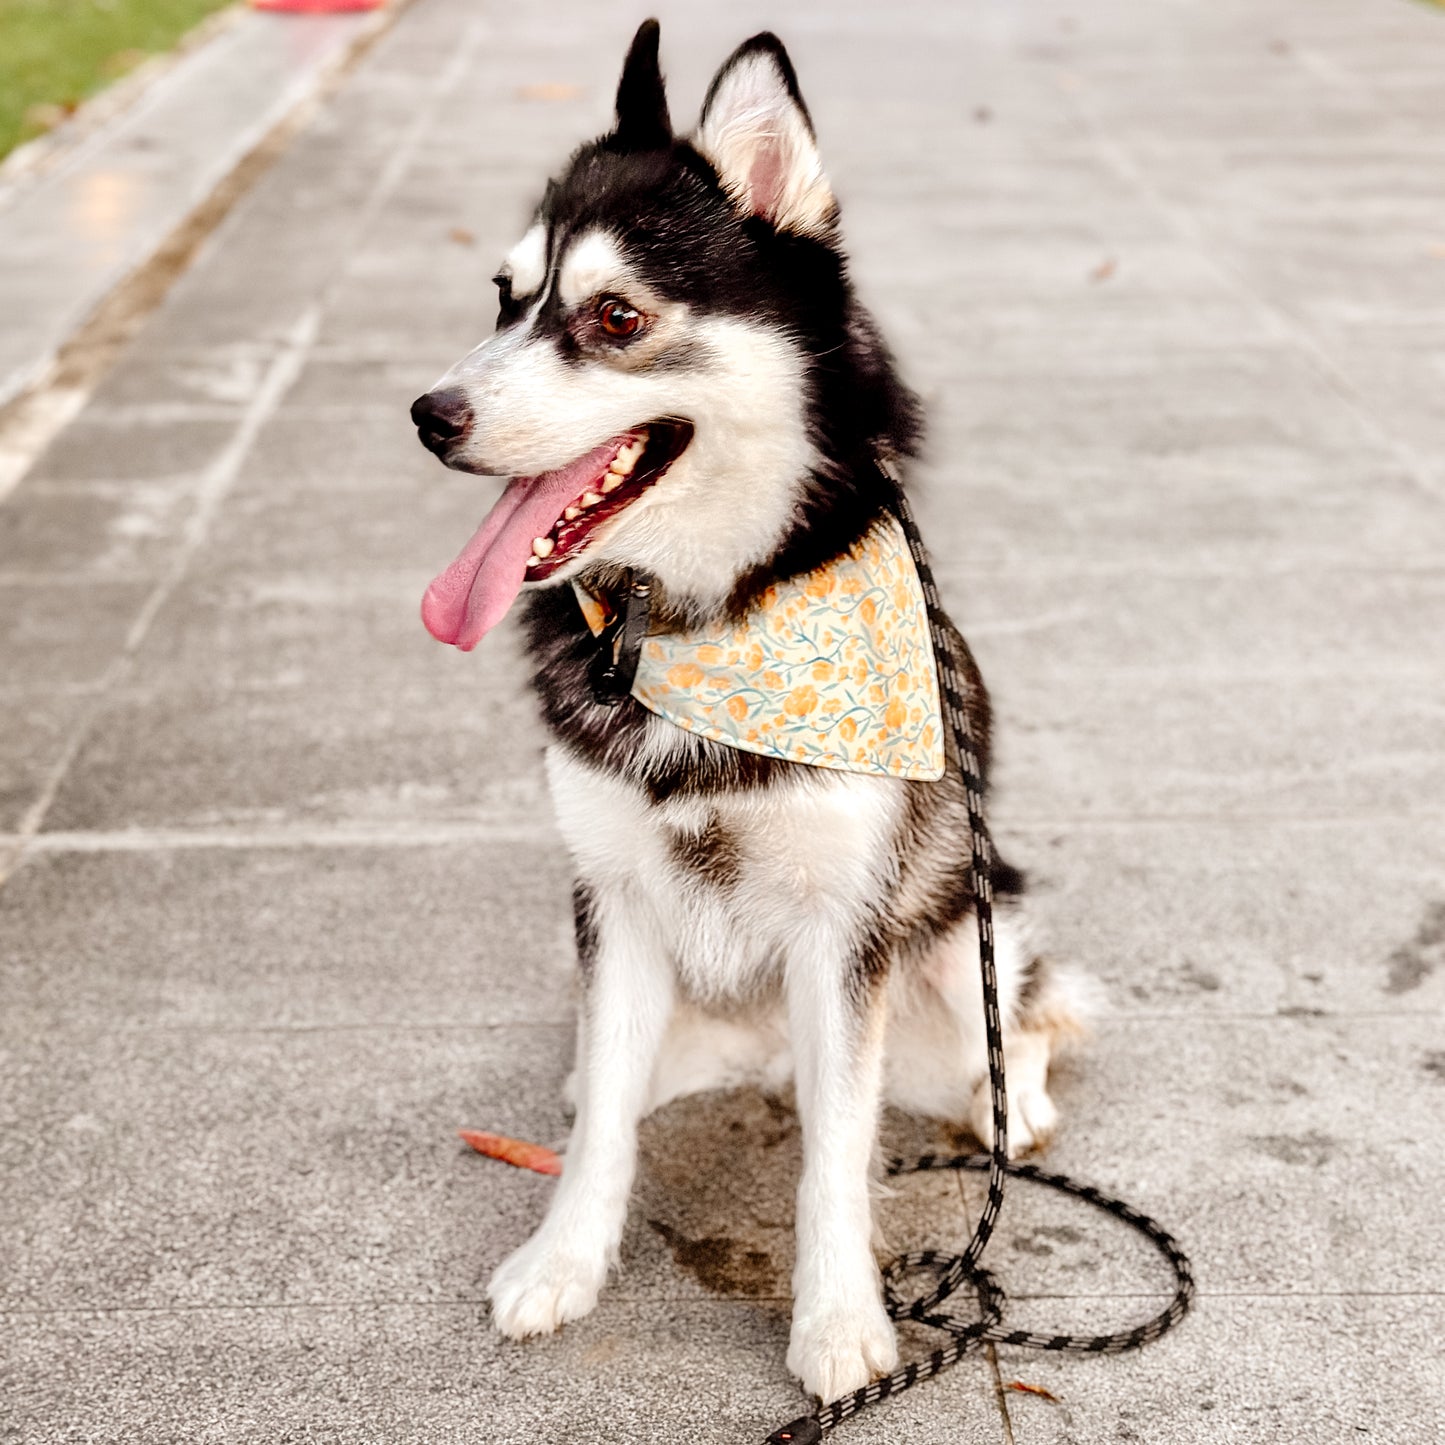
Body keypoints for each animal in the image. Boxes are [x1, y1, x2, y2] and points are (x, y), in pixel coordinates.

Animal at [413, 19, 1080, 1398]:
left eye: (613, 315)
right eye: (503, 298)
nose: (427, 414)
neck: (701, 620)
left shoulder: (843, 932)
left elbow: (836, 1153)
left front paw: (838, 1324)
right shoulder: (611, 903)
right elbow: (604, 1133)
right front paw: (562, 1263)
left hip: (960, 939)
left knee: (1020, 1018)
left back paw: (1017, 1104)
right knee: (601, 1089)